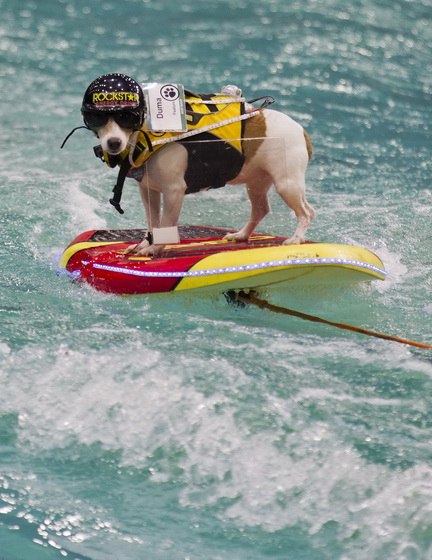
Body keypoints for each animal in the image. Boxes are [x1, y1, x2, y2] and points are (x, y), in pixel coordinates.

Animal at [80, 75, 314, 258]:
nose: (113, 143)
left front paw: (155, 249)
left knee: (306, 212)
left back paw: (296, 238)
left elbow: (166, 223)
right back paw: (242, 235)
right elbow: (153, 223)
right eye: (98, 119)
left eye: (126, 118)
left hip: (287, 184)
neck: (146, 134)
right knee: (260, 209)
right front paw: (145, 244)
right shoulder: (149, 191)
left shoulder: (173, 192)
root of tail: (301, 130)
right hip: (256, 183)